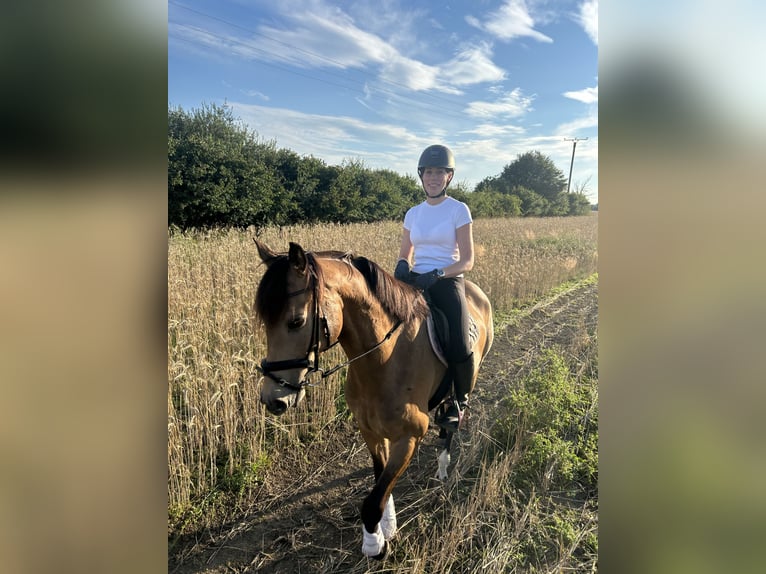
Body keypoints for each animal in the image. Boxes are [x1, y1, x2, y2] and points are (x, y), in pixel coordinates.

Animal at [252, 241, 492, 560]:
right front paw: (385, 528)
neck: (384, 358)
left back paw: (443, 463)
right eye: (265, 322)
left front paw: (374, 545)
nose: (273, 399)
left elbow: (374, 498)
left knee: (453, 417)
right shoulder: (370, 430)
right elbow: (381, 482)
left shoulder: (410, 436)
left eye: (296, 322)